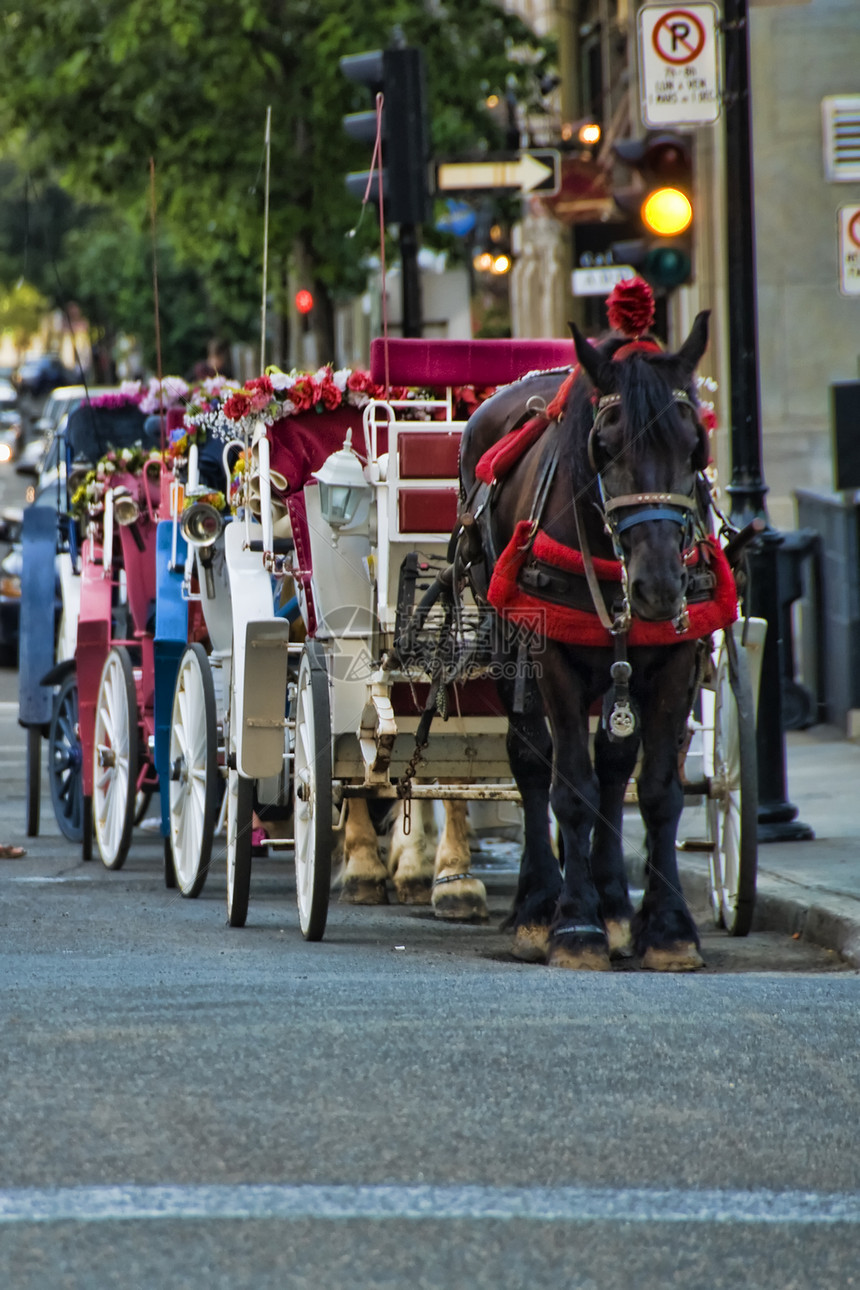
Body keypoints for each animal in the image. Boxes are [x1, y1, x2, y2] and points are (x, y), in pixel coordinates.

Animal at [456, 309, 732, 970]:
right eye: (604, 447)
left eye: (695, 446)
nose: (658, 585)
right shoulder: (552, 658)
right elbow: (571, 789)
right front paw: (573, 925)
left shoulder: (675, 661)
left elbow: (655, 789)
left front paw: (667, 927)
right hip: (509, 643)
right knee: (532, 760)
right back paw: (538, 904)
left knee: (612, 765)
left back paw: (613, 905)